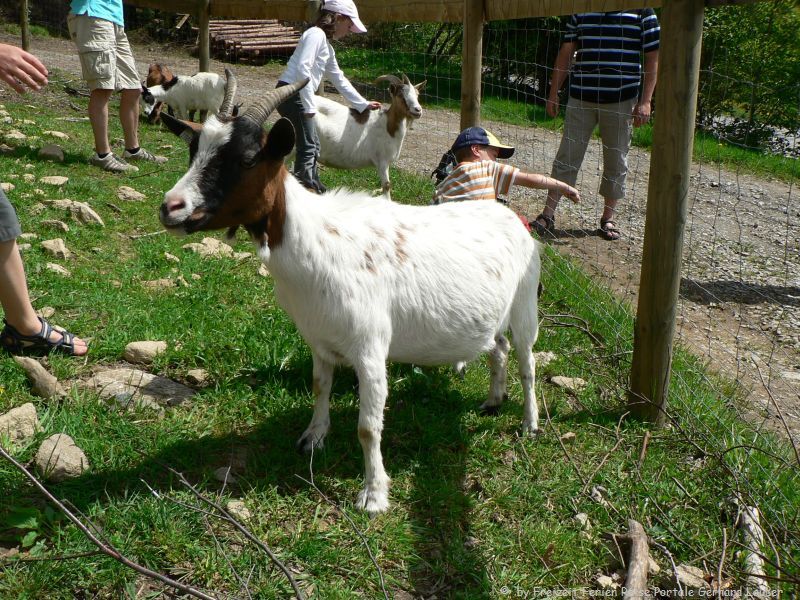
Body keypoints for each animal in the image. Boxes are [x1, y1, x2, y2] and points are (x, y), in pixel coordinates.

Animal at [157, 78, 544, 510]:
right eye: (193, 150)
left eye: (247, 159)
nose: (171, 207)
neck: (315, 240)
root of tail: (512, 218)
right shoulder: (320, 340)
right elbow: (319, 388)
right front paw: (312, 438)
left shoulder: (370, 348)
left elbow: (368, 428)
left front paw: (373, 495)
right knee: (499, 348)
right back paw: (493, 400)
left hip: (525, 308)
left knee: (527, 362)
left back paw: (529, 424)